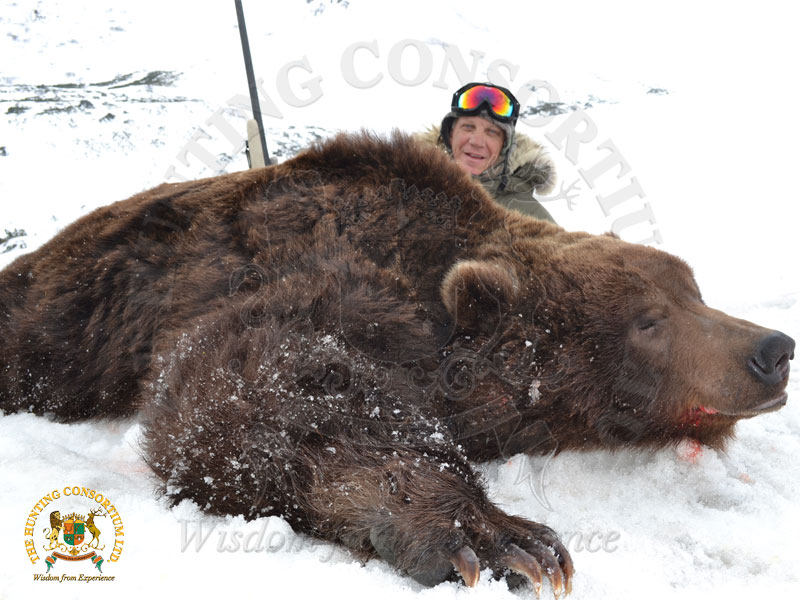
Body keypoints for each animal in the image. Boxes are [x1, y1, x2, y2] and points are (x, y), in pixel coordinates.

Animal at [0, 131, 794, 597]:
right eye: (648, 320)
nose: (772, 350)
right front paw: (503, 538)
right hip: (61, 322)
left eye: (694, 290)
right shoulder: (310, 278)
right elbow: (247, 389)